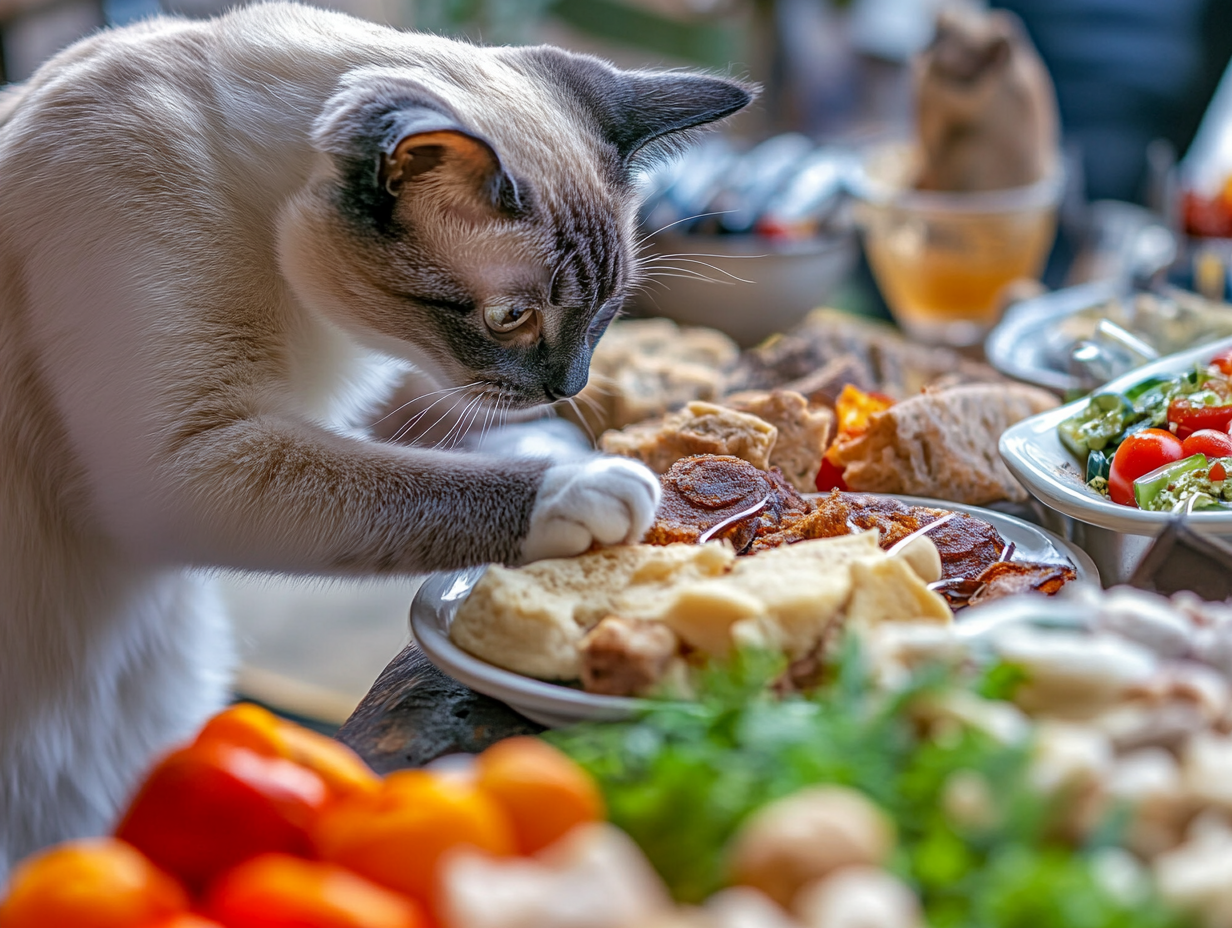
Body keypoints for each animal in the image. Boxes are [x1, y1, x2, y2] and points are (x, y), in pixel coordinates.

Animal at [0, 0, 749, 872]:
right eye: (510, 316)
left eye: (608, 311)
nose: (570, 388)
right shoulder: (184, 467)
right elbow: (412, 478)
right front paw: (592, 485)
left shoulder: (344, 402)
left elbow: (430, 434)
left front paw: (561, 447)